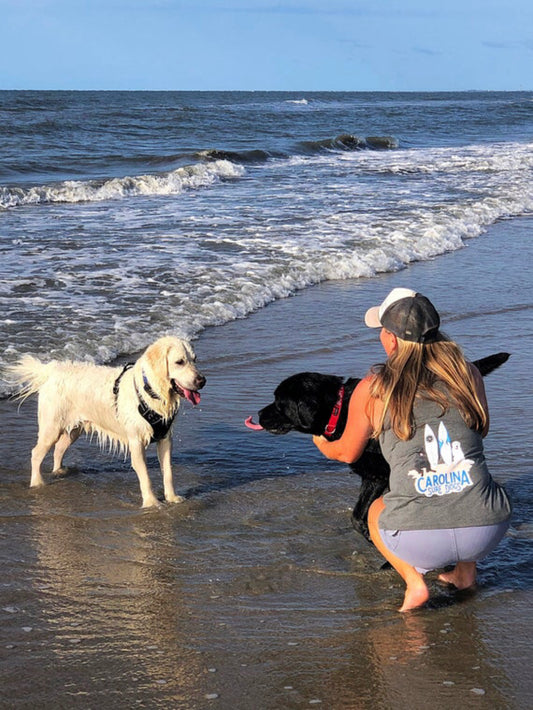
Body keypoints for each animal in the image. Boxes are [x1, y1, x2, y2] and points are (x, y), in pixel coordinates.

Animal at [10, 338, 206, 508]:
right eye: (179, 362)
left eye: (194, 360)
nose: (202, 381)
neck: (151, 391)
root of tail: (52, 370)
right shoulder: (136, 441)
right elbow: (145, 475)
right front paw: (151, 502)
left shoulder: (165, 437)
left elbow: (168, 472)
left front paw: (172, 498)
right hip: (51, 426)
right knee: (36, 453)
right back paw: (37, 483)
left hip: (75, 429)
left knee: (59, 449)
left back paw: (59, 471)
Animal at [245, 354, 508, 544]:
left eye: (279, 402)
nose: (258, 413)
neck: (340, 410)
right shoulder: (373, 477)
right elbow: (358, 513)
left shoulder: (381, 474)